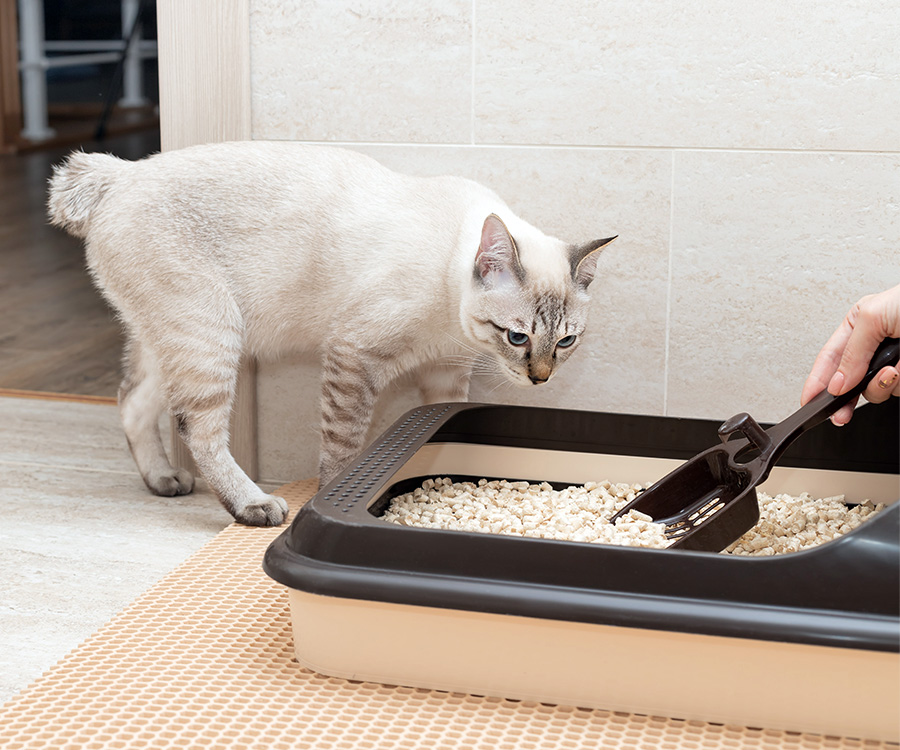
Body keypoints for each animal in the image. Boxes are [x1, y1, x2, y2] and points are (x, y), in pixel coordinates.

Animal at [45, 142, 616, 528]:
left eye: (564, 343)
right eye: (518, 338)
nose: (540, 379)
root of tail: (119, 173)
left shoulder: (444, 375)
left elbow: (444, 424)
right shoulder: (354, 356)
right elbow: (344, 448)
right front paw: (336, 492)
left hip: (166, 339)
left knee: (130, 402)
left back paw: (163, 480)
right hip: (210, 333)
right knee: (197, 429)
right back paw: (253, 504)